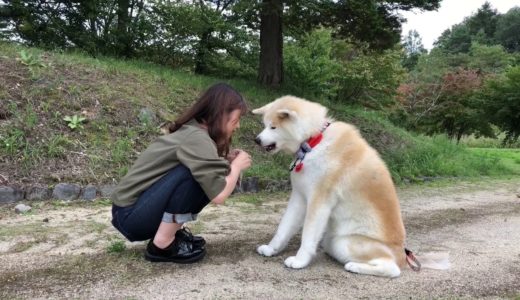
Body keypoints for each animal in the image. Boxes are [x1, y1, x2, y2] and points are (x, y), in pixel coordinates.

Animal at [254, 95, 448, 276]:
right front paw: (271, 249)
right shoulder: (299, 197)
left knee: (392, 269)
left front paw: (299, 261)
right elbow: (283, 228)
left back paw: (354, 266)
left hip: (345, 243)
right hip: (332, 242)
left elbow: (307, 236)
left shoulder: (319, 202)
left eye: (273, 127)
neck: (314, 142)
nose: (257, 140)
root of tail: (403, 257)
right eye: (265, 125)